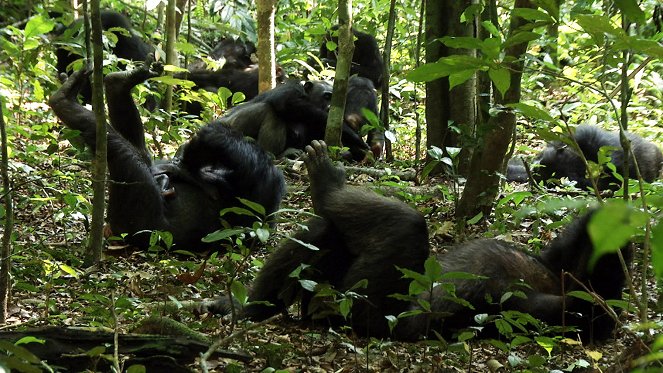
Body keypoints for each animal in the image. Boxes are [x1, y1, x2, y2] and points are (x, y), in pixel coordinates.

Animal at [46, 57, 286, 250]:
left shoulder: (258, 191)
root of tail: (112, 232)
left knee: (118, 147)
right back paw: (119, 82)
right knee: (141, 154)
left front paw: (186, 163)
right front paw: (181, 166)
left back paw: (63, 100)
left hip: (135, 216)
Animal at [202, 141, 632, 342]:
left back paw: (326, 183)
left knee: (406, 225)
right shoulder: (560, 265)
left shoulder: (553, 305)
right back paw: (247, 307)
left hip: (364, 306)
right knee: (325, 233)